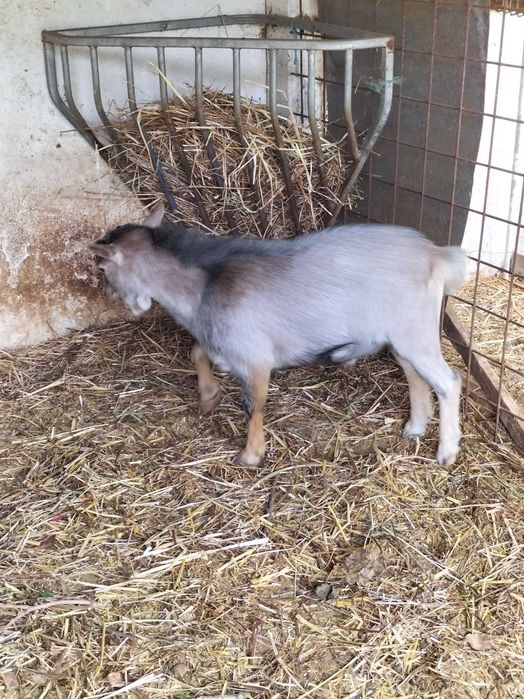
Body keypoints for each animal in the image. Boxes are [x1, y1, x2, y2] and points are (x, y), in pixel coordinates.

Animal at [90, 204, 466, 467]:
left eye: (103, 268)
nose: (109, 296)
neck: (205, 285)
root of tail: (436, 255)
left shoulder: (254, 358)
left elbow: (253, 406)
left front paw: (251, 455)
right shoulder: (227, 343)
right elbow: (197, 352)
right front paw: (209, 397)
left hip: (414, 331)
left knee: (448, 382)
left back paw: (446, 451)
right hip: (401, 335)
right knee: (415, 375)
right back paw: (415, 427)